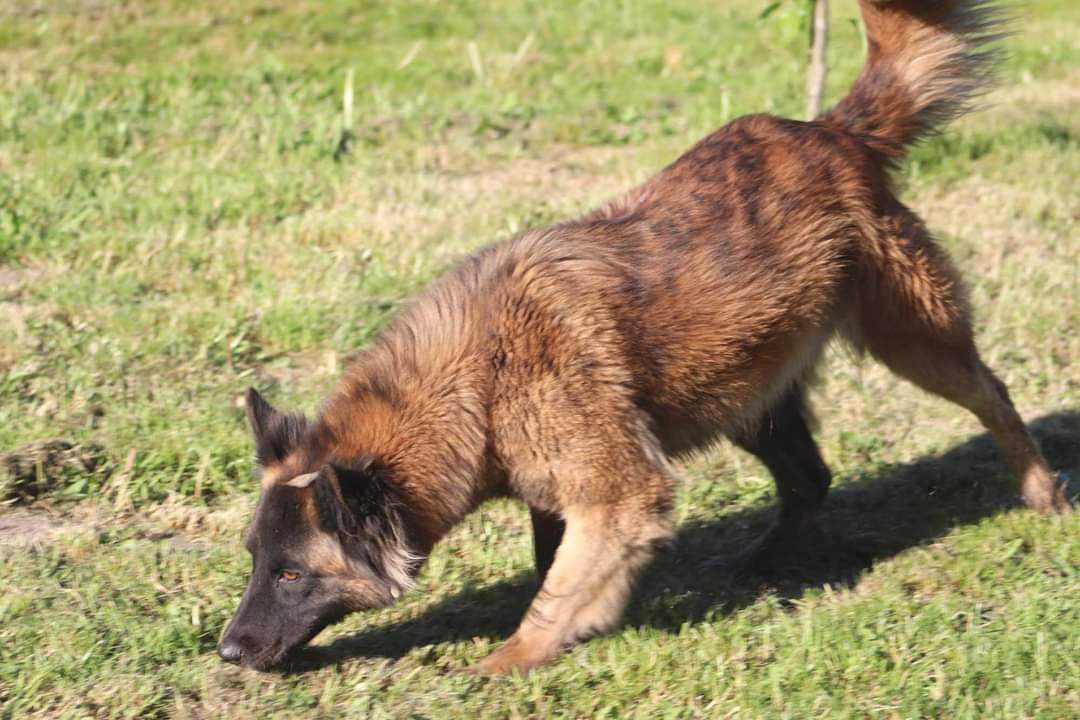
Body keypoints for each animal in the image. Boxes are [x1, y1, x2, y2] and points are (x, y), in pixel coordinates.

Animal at [219, 1, 1071, 677]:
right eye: (256, 561)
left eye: (291, 574)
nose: (227, 651)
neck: (475, 382)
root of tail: (832, 132)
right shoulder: (558, 490)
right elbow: (552, 567)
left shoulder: (620, 491)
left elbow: (558, 589)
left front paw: (515, 655)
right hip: (738, 393)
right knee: (811, 478)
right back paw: (760, 566)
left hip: (914, 338)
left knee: (994, 396)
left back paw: (1043, 495)